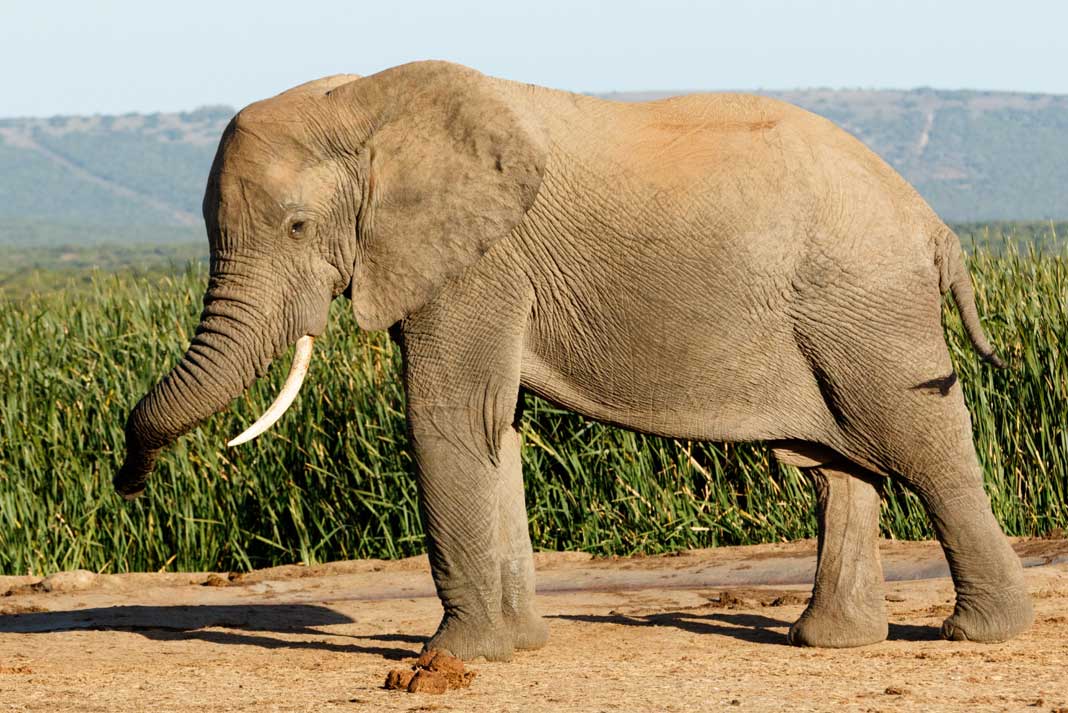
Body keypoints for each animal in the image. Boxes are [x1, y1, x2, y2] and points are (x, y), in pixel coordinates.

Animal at [115, 60, 1032, 661]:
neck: (365, 101)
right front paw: (518, 646)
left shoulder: (480, 262)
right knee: (837, 466)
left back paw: (977, 632)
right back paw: (827, 641)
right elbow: (498, 427)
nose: (127, 476)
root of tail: (936, 225)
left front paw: (449, 660)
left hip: (867, 309)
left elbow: (448, 414)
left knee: (924, 446)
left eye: (298, 226)